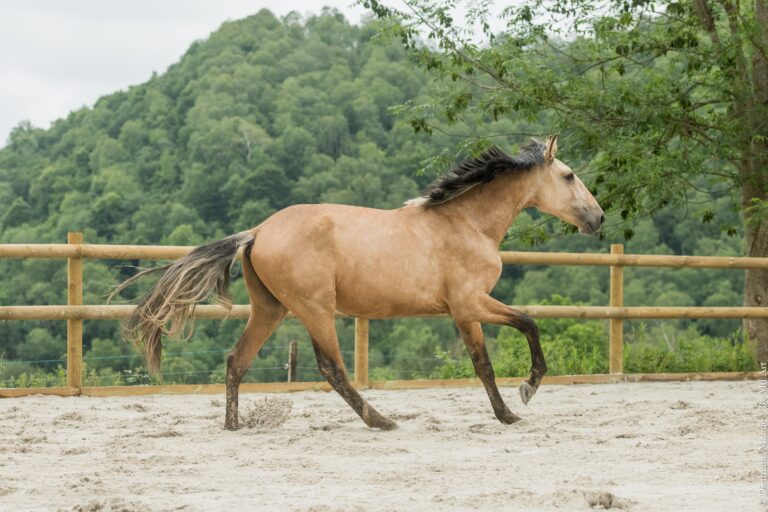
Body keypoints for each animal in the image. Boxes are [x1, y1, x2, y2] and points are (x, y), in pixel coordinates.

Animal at [111, 135, 604, 431]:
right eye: (569, 175)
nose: (598, 218)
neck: (465, 223)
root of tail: (258, 231)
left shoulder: (465, 309)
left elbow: (493, 353)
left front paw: (512, 407)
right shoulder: (469, 305)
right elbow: (517, 332)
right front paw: (522, 397)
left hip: (271, 310)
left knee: (236, 360)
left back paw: (234, 426)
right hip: (315, 310)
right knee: (332, 369)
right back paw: (380, 420)